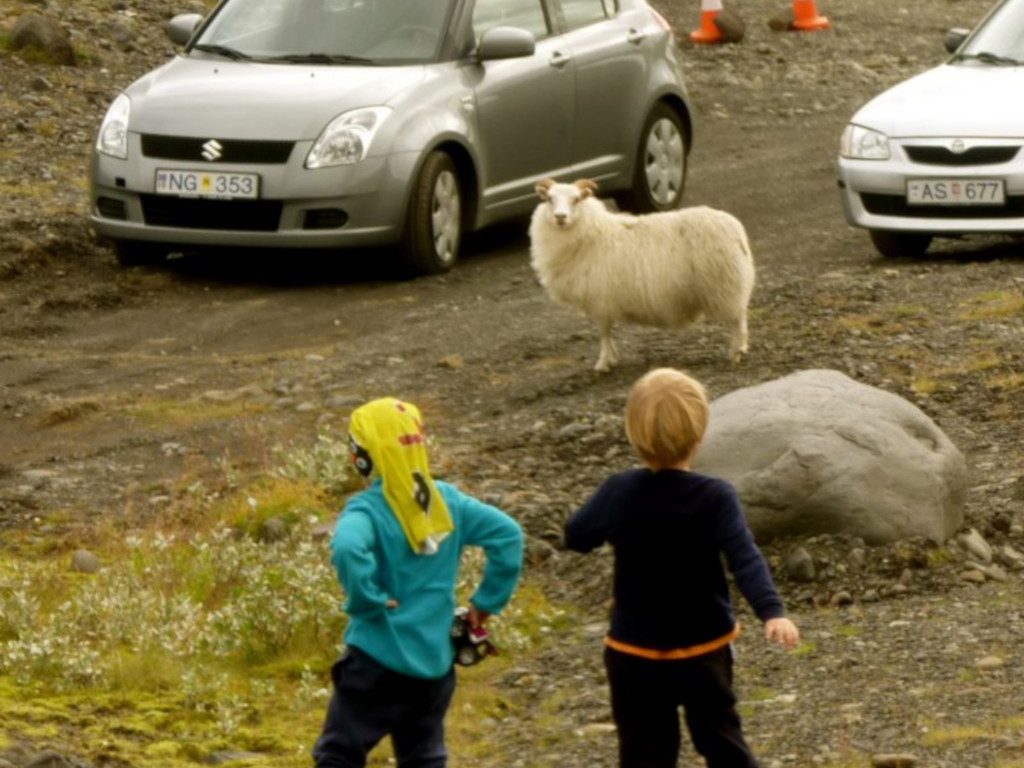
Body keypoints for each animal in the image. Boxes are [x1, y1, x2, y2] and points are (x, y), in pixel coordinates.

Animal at [532, 180, 757, 372]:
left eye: (576, 199)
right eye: (549, 199)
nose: (560, 217)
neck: (591, 232)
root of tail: (736, 229)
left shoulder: (600, 301)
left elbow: (604, 333)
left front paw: (603, 363)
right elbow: (607, 333)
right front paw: (612, 358)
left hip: (725, 286)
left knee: (737, 321)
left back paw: (736, 352)